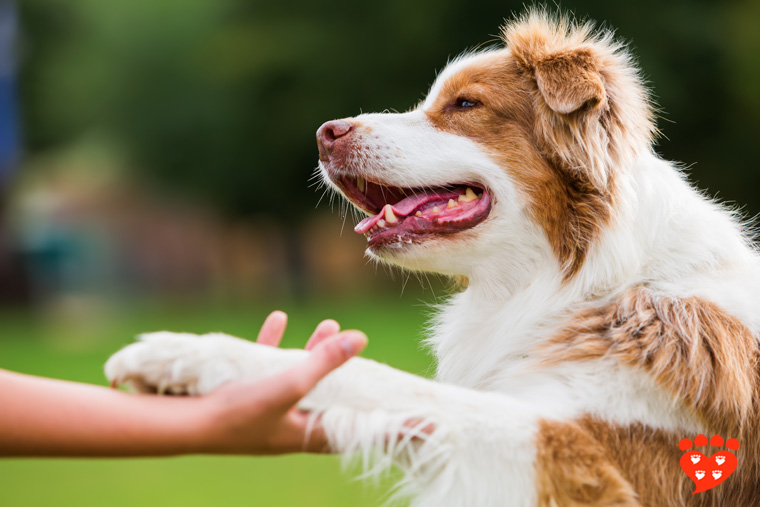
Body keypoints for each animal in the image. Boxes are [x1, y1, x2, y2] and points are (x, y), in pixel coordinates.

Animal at [105, 11, 760, 507]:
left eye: (465, 104)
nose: (324, 133)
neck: (586, 279)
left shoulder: (588, 456)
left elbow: (385, 381)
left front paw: (188, 353)